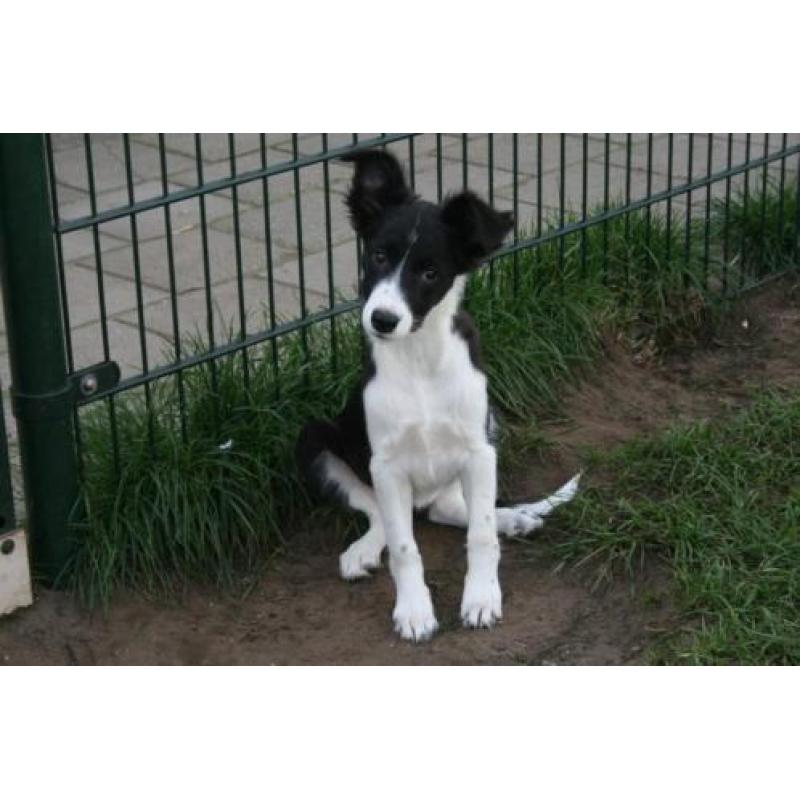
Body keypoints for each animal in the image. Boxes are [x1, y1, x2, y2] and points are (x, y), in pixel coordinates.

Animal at [296, 147, 580, 640]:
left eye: (429, 272)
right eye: (377, 255)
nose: (383, 319)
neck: (419, 359)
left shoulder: (479, 450)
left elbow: (480, 534)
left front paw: (482, 599)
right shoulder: (386, 464)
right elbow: (404, 546)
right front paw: (414, 612)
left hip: (488, 431)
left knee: (453, 511)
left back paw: (514, 519)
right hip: (313, 439)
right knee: (383, 516)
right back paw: (362, 552)